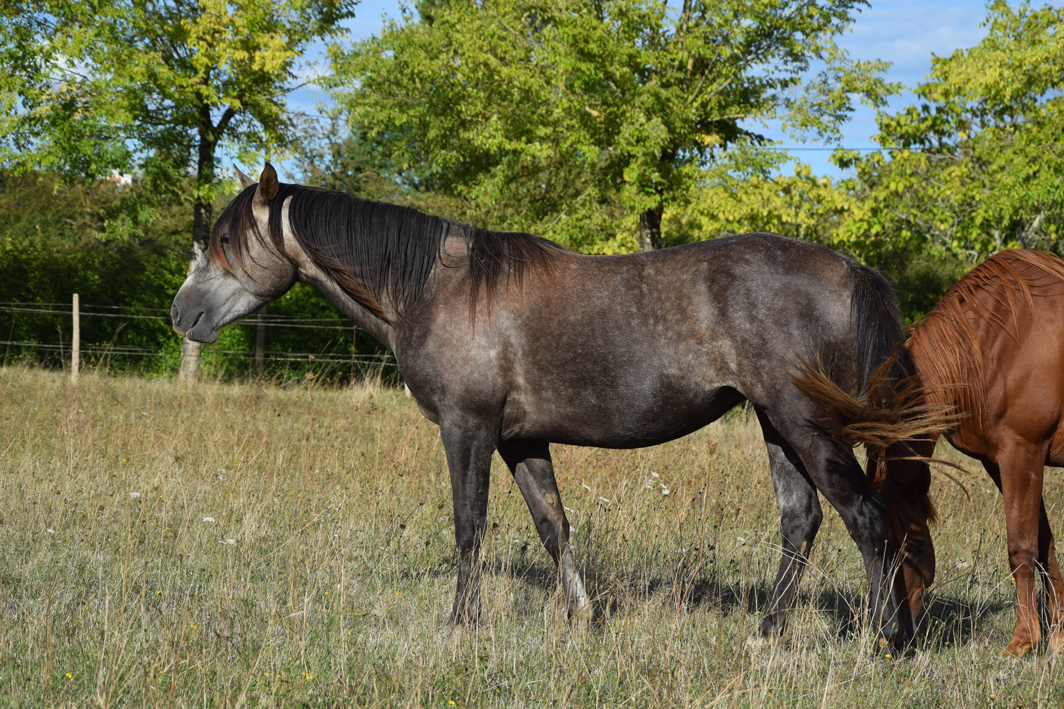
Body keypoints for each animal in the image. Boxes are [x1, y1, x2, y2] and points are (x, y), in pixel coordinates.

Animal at [171, 164, 931, 650]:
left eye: (227, 241)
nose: (182, 314)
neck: (436, 288)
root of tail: (850, 267)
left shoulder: (468, 428)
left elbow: (470, 527)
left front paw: (460, 626)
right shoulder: (520, 440)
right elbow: (553, 525)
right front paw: (582, 618)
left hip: (806, 423)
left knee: (865, 518)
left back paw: (885, 641)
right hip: (777, 425)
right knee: (801, 522)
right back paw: (766, 634)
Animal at [904, 249, 1064, 657]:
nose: (884, 634)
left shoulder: (1022, 454)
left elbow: (1021, 547)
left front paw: (1023, 641)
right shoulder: (999, 462)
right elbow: (1044, 544)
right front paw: (1057, 637)